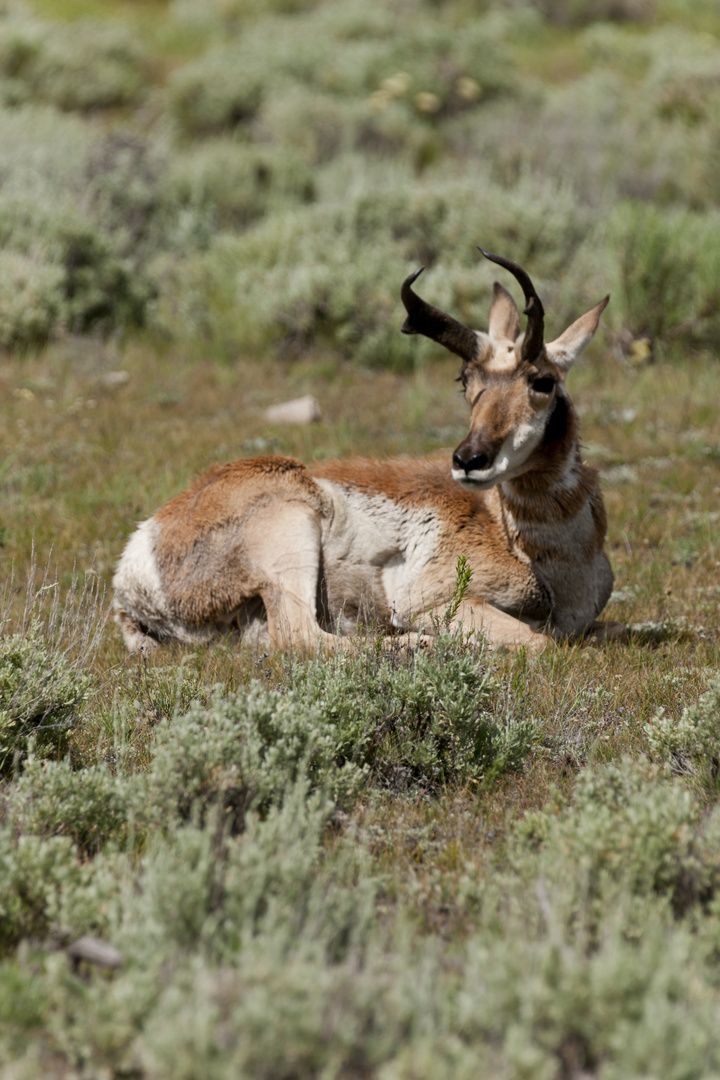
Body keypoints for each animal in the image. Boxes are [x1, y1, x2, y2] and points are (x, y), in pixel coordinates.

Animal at [115, 250, 617, 656]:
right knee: (300, 637)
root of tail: (138, 554)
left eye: (543, 381)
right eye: (466, 381)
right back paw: (417, 645)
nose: (468, 460)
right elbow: (542, 642)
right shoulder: (432, 600)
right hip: (292, 528)